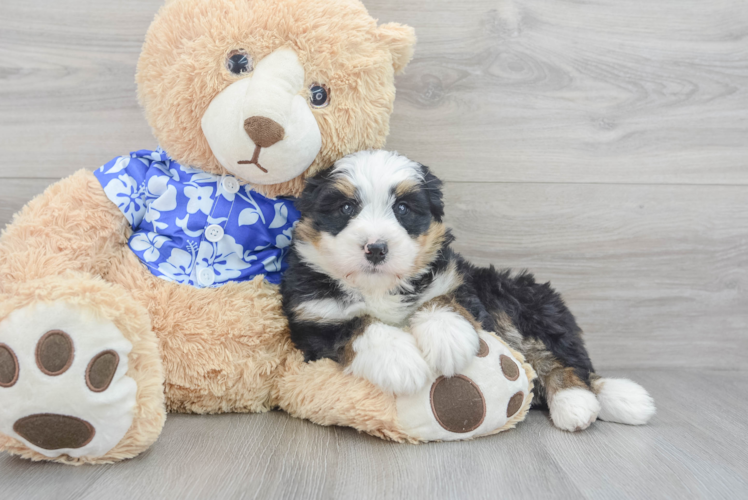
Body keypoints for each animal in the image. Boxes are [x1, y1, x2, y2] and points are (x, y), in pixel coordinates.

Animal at [280, 149, 656, 430]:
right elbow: (358, 325)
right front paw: (400, 360)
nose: (376, 248)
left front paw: (448, 339)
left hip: (518, 299)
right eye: (346, 208)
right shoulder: (312, 320)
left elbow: (442, 299)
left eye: (402, 209)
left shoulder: (459, 282)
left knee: (560, 360)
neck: (379, 287)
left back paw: (585, 401)